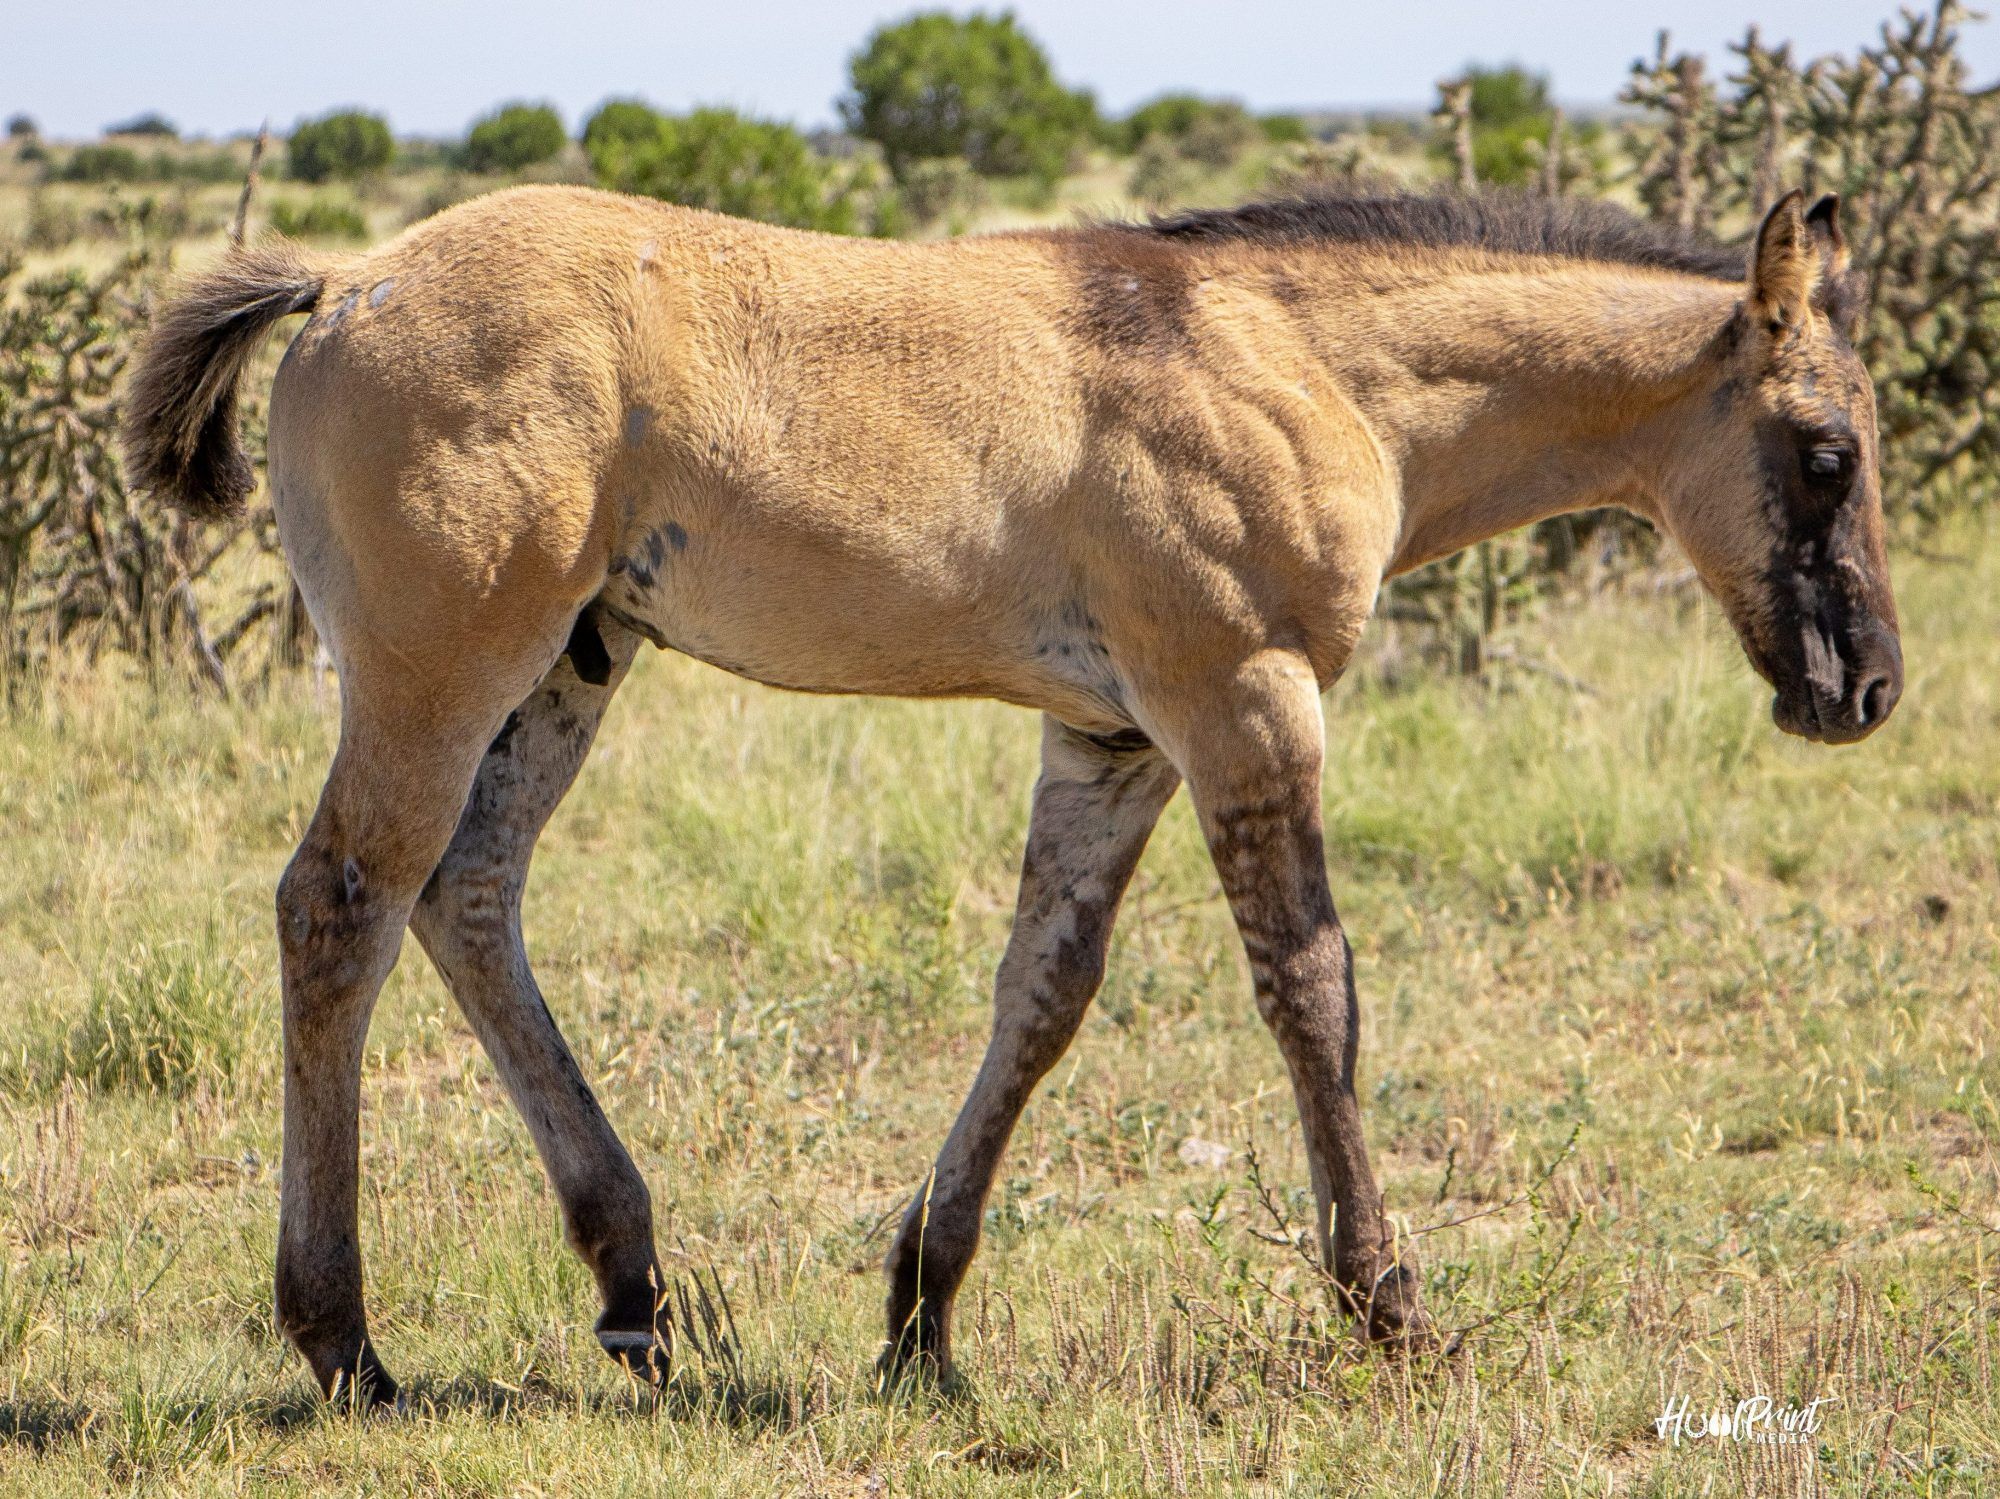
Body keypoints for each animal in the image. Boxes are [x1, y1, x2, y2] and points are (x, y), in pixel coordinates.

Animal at [123, 183, 1901, 1404]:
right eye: (1827, 453)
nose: (1866, 687)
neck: (1301, 358)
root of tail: (345, 280)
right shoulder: (1243, 702)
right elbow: (1314, 988)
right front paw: (1389, 1307)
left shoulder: (1114, 742)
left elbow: (1042, 992)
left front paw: (922, 1312)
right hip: (442, 667)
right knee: (341, 905)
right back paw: (345, 1337)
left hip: (572, 660)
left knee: (468, 895)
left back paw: (635, 1281)